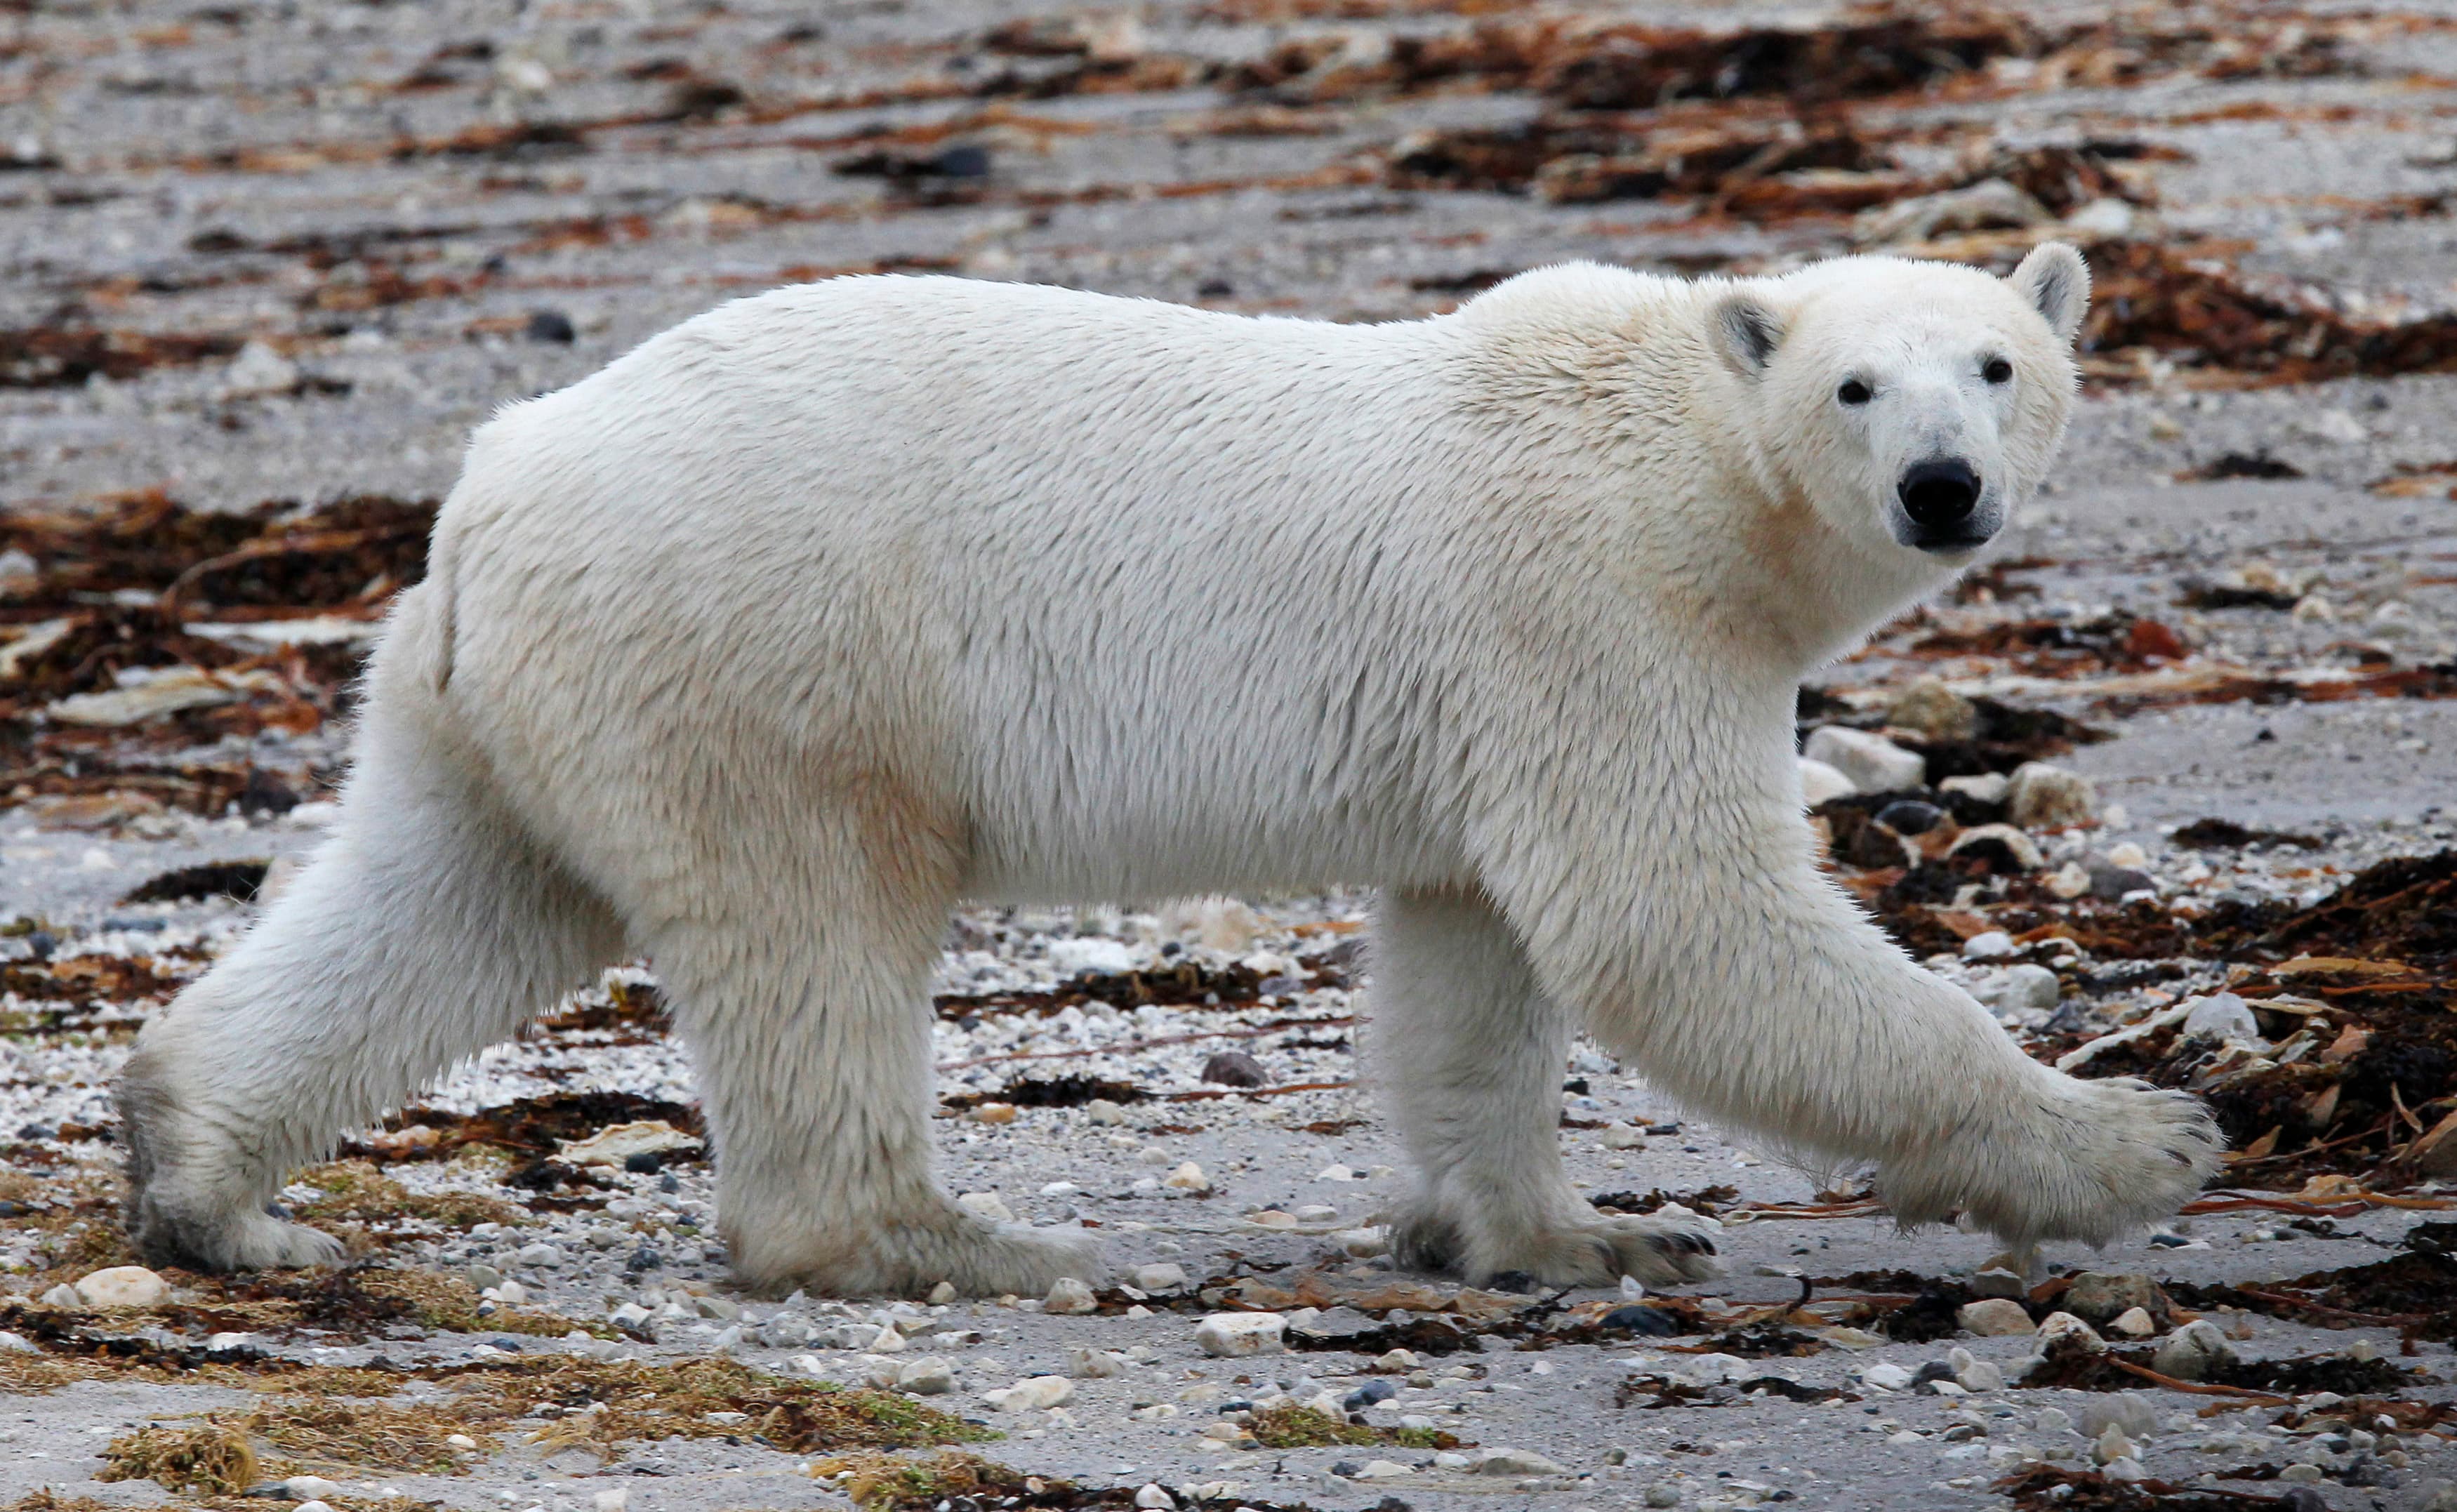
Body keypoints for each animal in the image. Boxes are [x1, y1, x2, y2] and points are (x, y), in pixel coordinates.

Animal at [117, 242, 2221, 1298]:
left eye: (1998, 363)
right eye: (1857, 385)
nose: (1943, 486)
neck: (1673, 454)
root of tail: (493, 481)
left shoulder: (1495, 699)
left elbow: (1476, 961)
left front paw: (1564, 1228)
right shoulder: (1590, 607)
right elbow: (1674, 922)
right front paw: (2133, 1144)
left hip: (506, 691)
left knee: (446, 894)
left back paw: (206, 1177)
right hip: (770, 653)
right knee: (813, 924)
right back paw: (947, 1242)